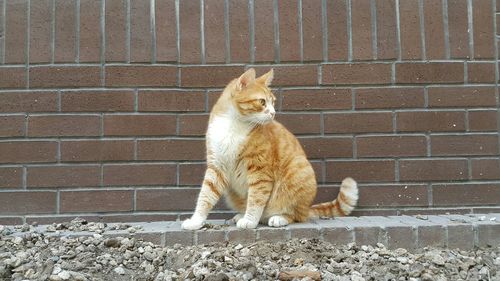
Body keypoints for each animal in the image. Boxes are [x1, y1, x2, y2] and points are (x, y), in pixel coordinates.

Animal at [182, 68, 358, 230]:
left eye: (273, 102)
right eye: (262, 102)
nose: (273, 113)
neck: (233, 124)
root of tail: (307, 208)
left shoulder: (260, 171)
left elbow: (256, 199)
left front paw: (249, 221)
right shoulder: (217, 165)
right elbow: (205, 196)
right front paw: (196, 221)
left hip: (297, 172)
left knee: (296, 216)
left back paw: (278, 218)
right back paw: (240, 215)